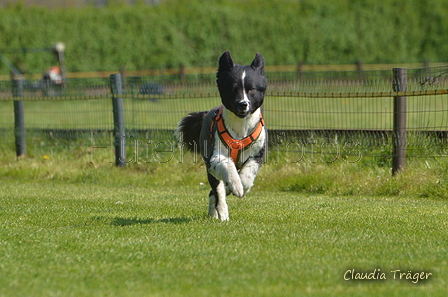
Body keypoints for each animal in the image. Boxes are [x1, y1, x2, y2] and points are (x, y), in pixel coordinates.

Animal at [176, 51, 268, 220]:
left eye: (252, 89)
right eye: (233, 89)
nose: (243, 104)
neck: (240, 126)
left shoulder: (259, 153)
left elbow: (249, 171)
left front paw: (242, 185)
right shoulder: (215, 157)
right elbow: (228, 168)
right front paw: (236, 186)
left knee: (215, 192)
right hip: (209, 166)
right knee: (217, 191)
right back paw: (221, 213)